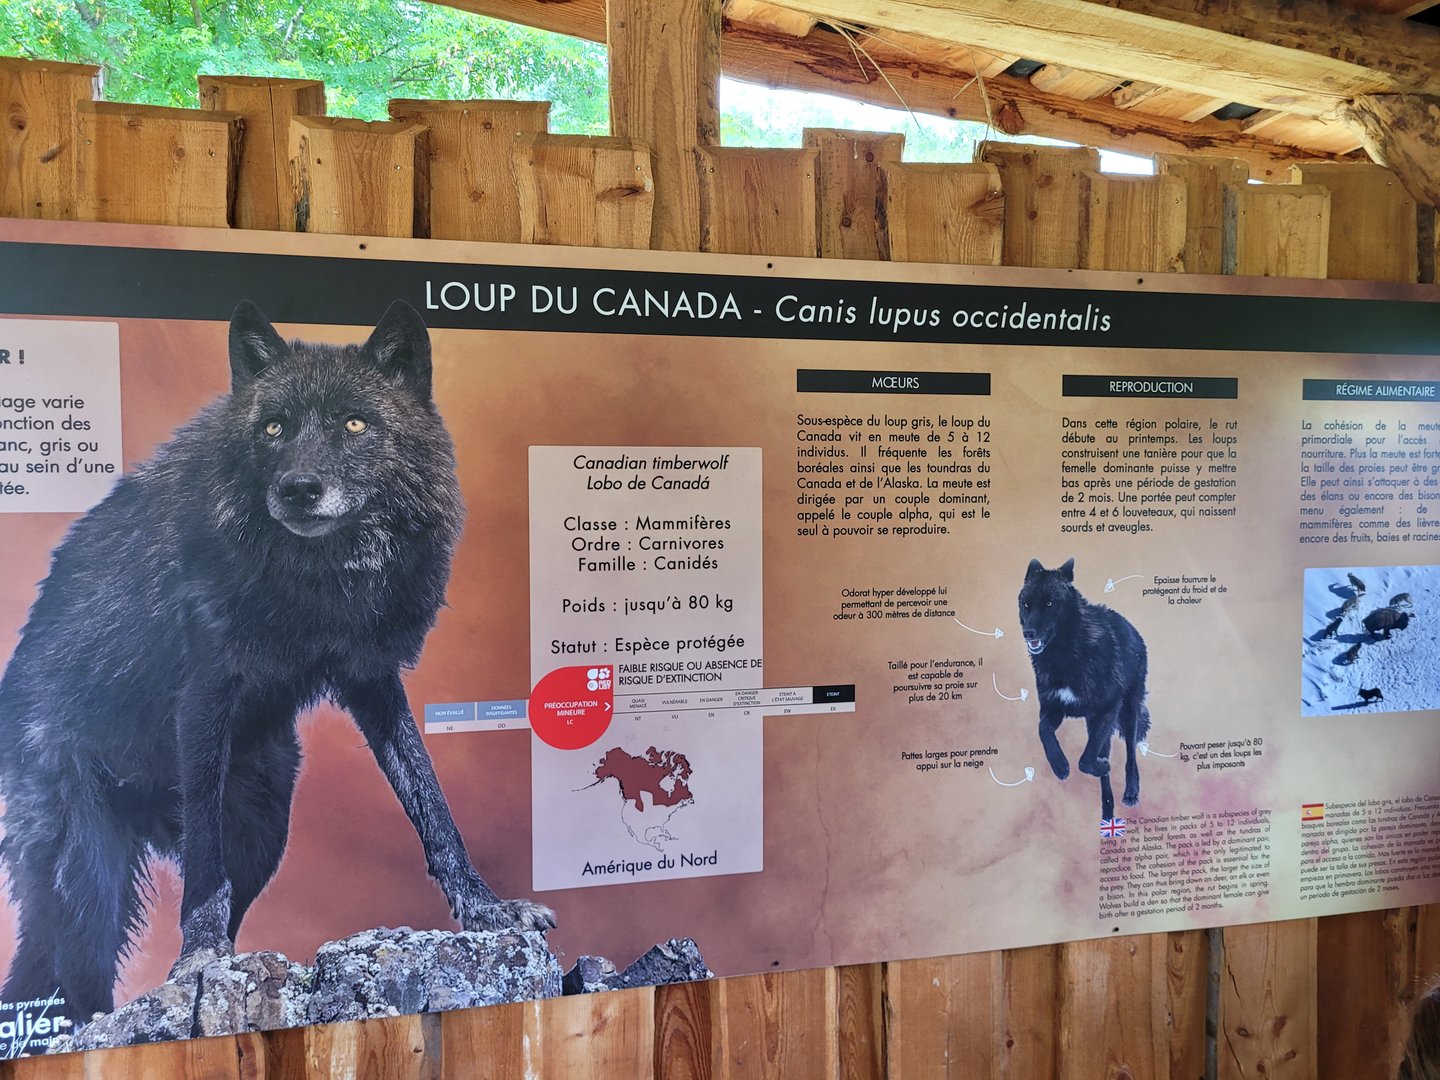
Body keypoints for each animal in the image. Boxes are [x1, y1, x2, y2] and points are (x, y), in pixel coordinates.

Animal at [0, 300, 554, 1022]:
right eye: (273, 428)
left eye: (354, 422)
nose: (298, 489)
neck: (316, 585)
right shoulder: (206, 693)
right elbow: (204, 860)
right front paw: (198, 959)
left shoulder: (371, 679)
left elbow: (432, 804)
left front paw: (488, 910)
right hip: (82, 875)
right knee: (70, 976)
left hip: (266, 824)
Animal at [1018, 558, 1151, 822]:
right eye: (1026, 604)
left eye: (1050, 603)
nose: (1028, 633)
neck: (1066, 655)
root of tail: (1134, 630)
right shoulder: (1053, 709)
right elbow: (1043, 731)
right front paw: (1060, 765)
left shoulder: (1108, 708)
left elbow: (1086, 760)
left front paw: (1092, 765)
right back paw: (1107, 814)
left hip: (1127, 714)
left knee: (1130, 754)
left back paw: (1130, 792)